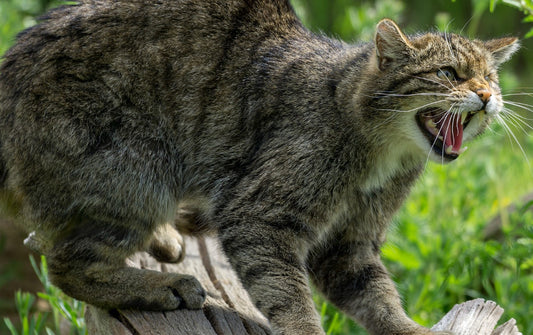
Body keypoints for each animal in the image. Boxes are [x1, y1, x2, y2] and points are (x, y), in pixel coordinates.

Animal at [0, 0, 516, 334]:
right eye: (448, 74)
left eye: (490, 77)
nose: (487, 95)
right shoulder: (258, 215)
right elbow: (289, 297)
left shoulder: (349, 246)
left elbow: (380, 299)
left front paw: (412, 328)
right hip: (139, 170)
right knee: (64, 262)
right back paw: (161, 285)